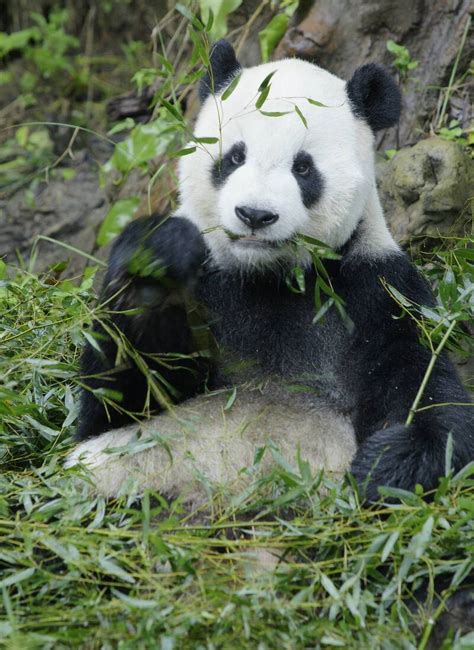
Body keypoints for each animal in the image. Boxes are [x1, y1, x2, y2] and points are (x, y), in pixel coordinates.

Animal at [67, 40, 474, 508]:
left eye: (303, 168)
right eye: (234, 156)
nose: (255, 215)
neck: (266, 275)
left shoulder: (375, 289)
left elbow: (424, 388)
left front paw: (386, 464)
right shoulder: (208, 286)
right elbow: (117, 401)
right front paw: (154, 267)